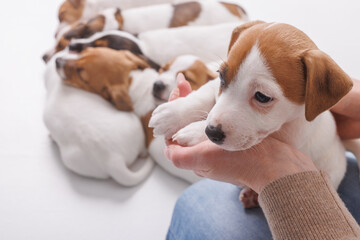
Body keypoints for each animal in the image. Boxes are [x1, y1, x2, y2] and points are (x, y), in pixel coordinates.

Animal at [149, 21, 360, 207]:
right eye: (221, 77)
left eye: (262, 97)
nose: (211, 132)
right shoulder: (214, 88)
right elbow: (202, 95)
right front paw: (172, 113)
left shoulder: (287, 136)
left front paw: (194, 131)